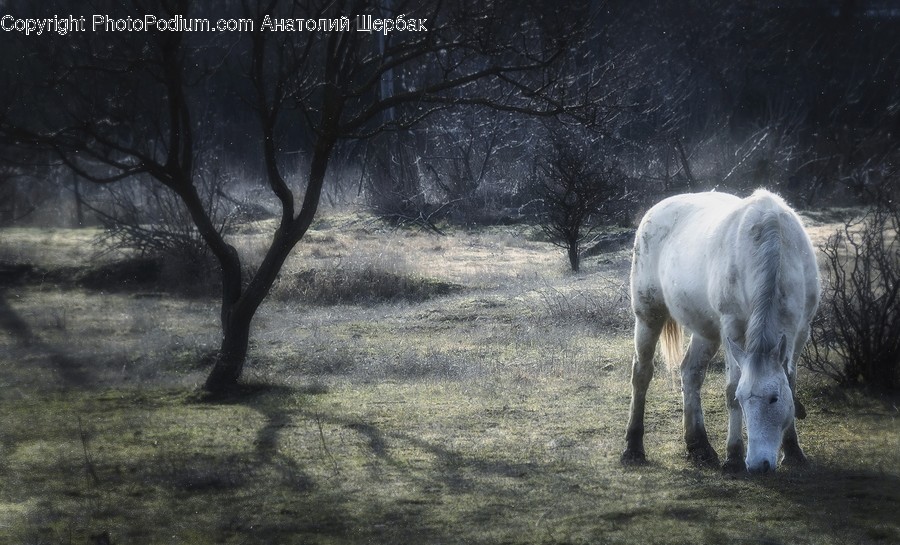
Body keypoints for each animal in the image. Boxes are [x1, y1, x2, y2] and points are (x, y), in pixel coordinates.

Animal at [621, 189, 819, 473]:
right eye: (743, 399)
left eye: (773, 399)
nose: (758, 464)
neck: (775, 247)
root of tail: (654, 210)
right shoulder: (732, 328)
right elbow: (730, 388)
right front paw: (734, 455)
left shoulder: (801, 331)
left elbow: (790, 383)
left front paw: (793, 450)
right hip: (649, 316)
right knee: (642, 373)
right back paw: (633, 447)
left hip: (706, 331)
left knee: (690, 373)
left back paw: (699, 446)